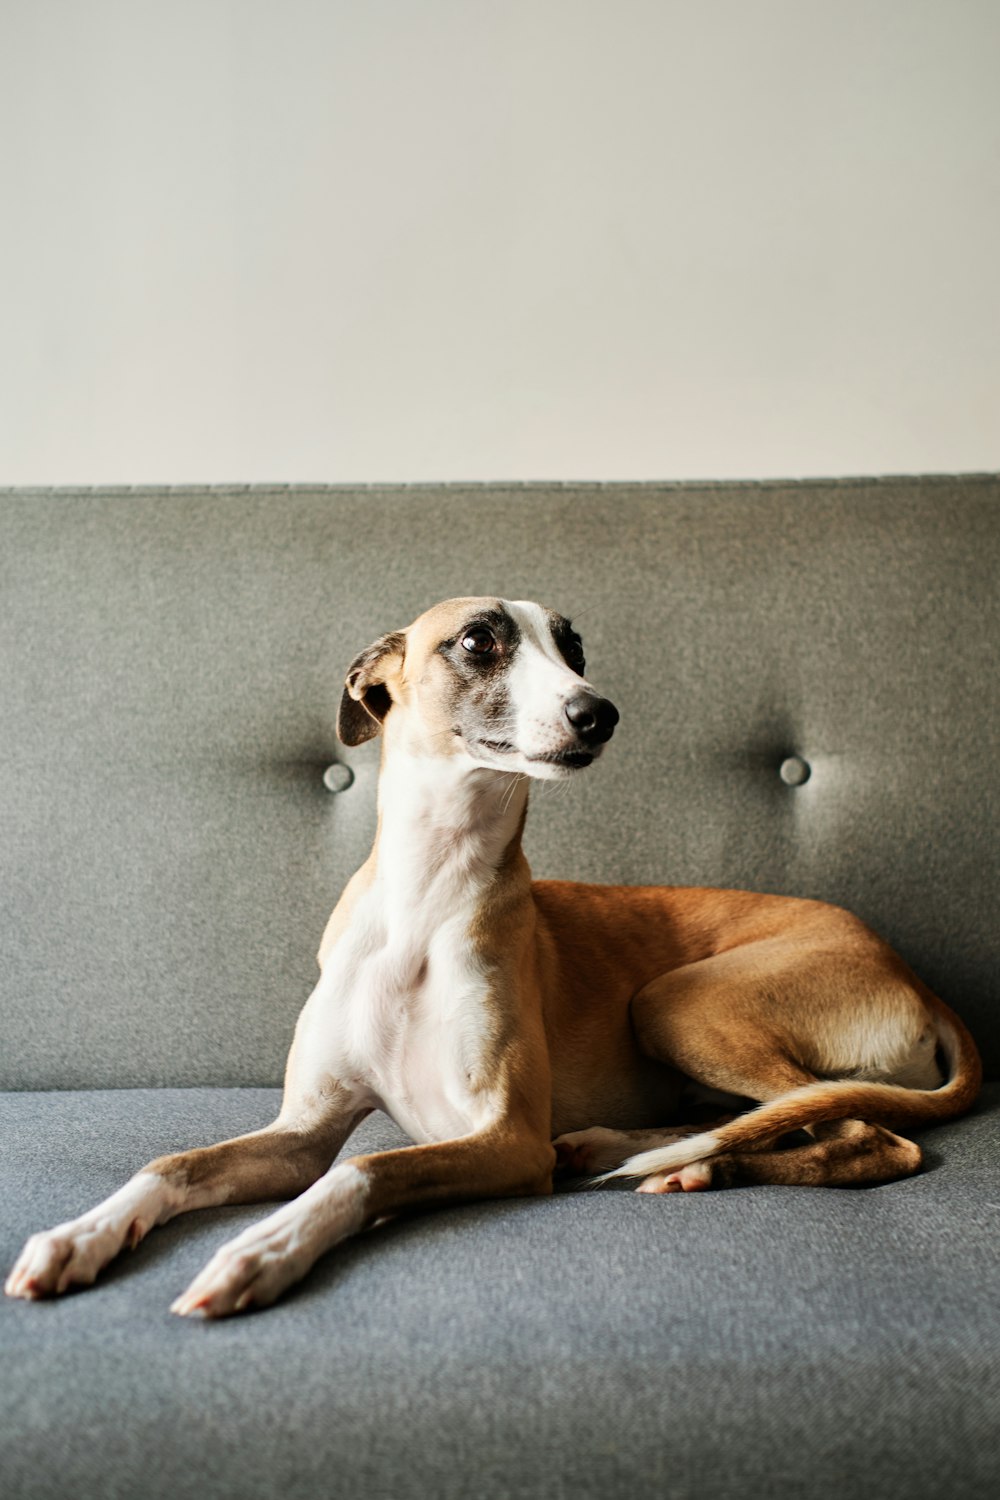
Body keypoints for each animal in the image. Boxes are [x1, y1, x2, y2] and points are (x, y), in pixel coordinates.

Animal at [3, 591, 983, 1320]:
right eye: (479, 639)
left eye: (574, 645)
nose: (600, 713)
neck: (427, 896)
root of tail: (910, 972)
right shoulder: (300, 1131)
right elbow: (171, 1164)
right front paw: (77, 1235)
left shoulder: (503, 1140)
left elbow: (362, 1168)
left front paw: (262, 1246)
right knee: (784, 1116)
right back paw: (634, 1146)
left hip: (679, 1000)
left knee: (861, 1132)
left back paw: (702, 1162)